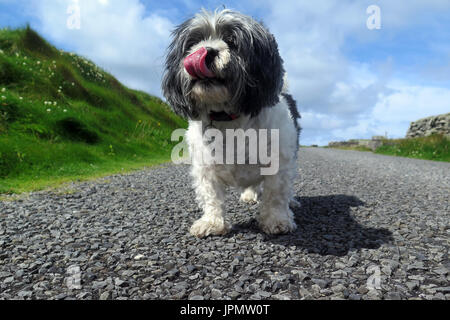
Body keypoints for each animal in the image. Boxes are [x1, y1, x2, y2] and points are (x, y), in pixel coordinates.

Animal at [163, 9, 302, 238]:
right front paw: (212, 222)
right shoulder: (205, 168)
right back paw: (249, 195)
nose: (206, 51)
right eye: (194, 42)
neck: (227, 118)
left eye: (232, 41)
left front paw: (277, 220)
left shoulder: (278, 163)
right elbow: (211, 196)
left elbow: (276, 194)